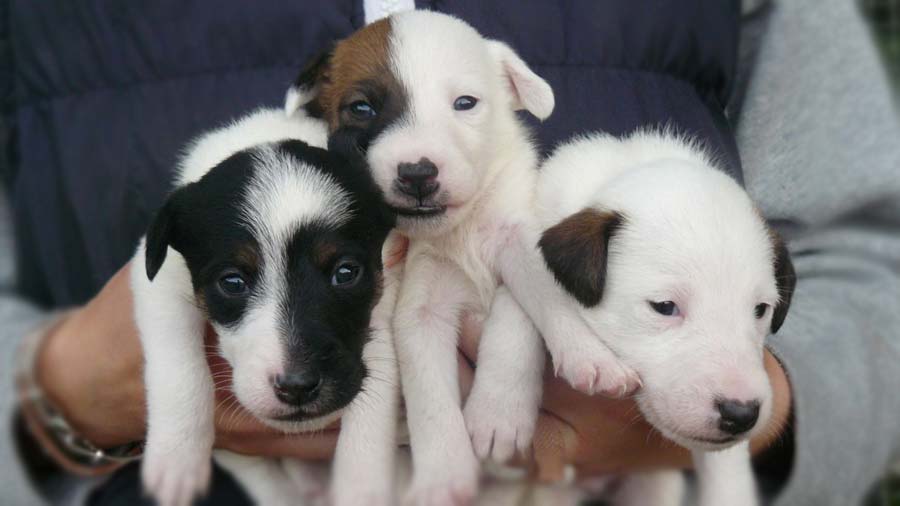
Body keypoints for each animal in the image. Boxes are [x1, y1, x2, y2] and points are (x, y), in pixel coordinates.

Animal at [132, 108, 400, 506]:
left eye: (346, 272)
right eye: (232, 282)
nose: (297, 387)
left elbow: (377, 384)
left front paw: (361, 485)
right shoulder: (158, 281)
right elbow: (177, 364)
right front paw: (176, 457)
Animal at [284, 9, 644, 504]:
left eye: (465, 103)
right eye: (362, 108)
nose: (417, 173)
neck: (461, 232)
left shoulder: (522, 241)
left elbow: (535, 305)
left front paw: (505, 409)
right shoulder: (418, 311)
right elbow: (431, 402)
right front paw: (443, 476)